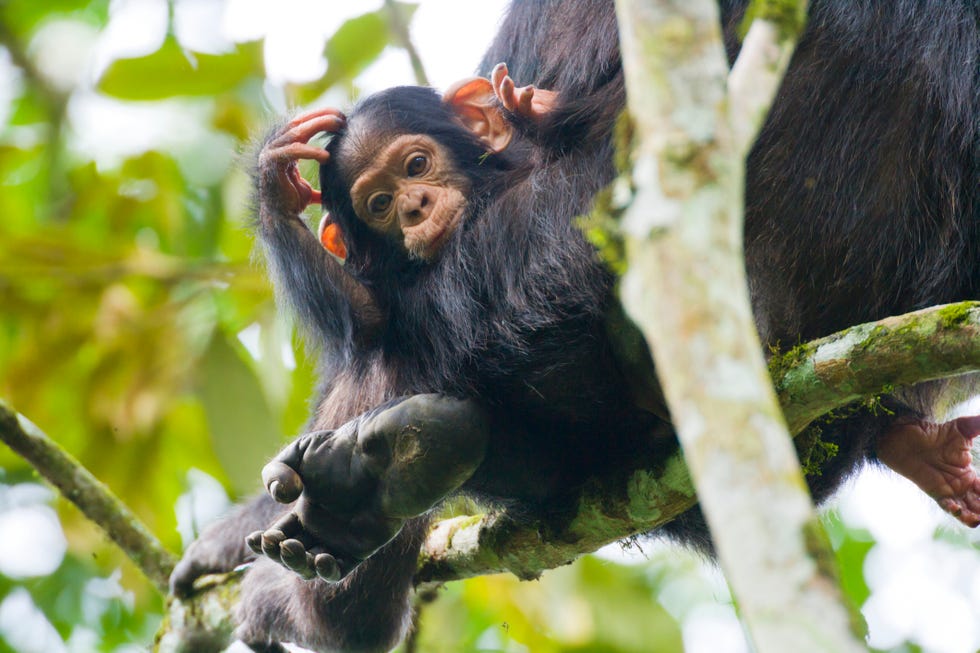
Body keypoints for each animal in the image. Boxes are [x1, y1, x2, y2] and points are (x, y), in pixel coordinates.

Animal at [172, 0, 976, 648]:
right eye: (378, 201)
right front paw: (275, 188)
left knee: (393, 348)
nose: (414, 207)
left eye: (417, 164)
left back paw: (341, 563)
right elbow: (364, 299)